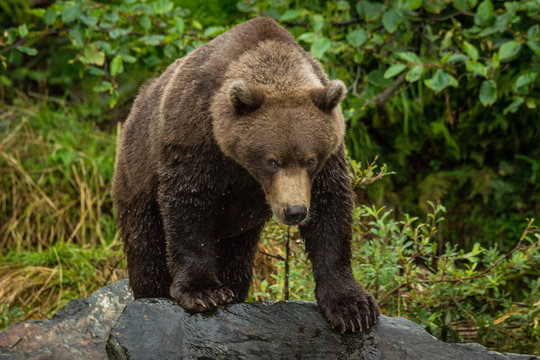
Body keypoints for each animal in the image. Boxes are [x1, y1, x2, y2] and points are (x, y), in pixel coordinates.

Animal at [111, 16, 378, 332]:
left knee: (237, 260)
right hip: (136, 176)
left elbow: (331, 210)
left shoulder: (329, 157)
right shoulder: (196, 137)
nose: (295, 211)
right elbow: (188, 204)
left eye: (310, 160)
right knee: (146, 248)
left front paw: (353, 307)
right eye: (272, 161)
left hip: (240, 230)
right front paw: (203, 291)